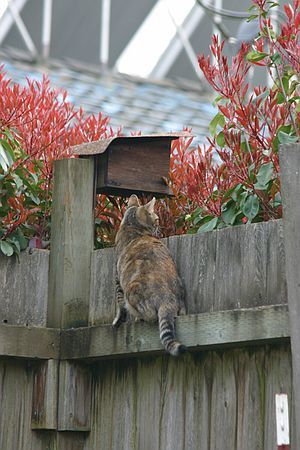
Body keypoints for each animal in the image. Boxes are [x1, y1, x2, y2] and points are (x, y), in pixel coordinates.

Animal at [112, 195, 185, 356]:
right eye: (156, 219)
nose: (159, 226)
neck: (131, 225)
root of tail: (167, 299)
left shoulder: (117, 279)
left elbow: (119, 304)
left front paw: (118, 320)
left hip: (131, 290)